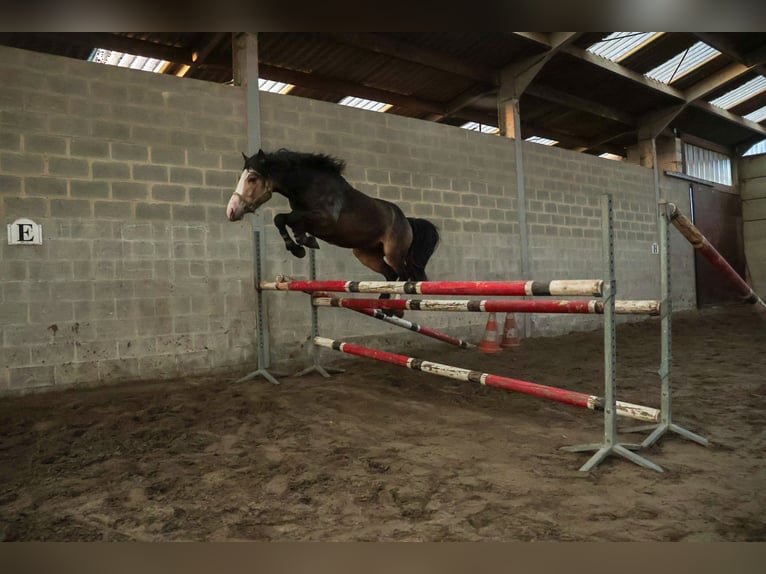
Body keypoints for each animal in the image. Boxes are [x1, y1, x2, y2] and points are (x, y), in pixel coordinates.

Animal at [225, 148, 440, 288]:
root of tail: (407, 221)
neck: (310, 187)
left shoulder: (325, 221)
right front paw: (301, 244)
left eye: (252, 179)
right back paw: (386, 308)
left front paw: (299, 246)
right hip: (366, 254)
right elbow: (284, 220)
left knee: (405, 276)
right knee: (391, 275)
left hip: (394, 253)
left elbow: (283, 218)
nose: (231, 211)